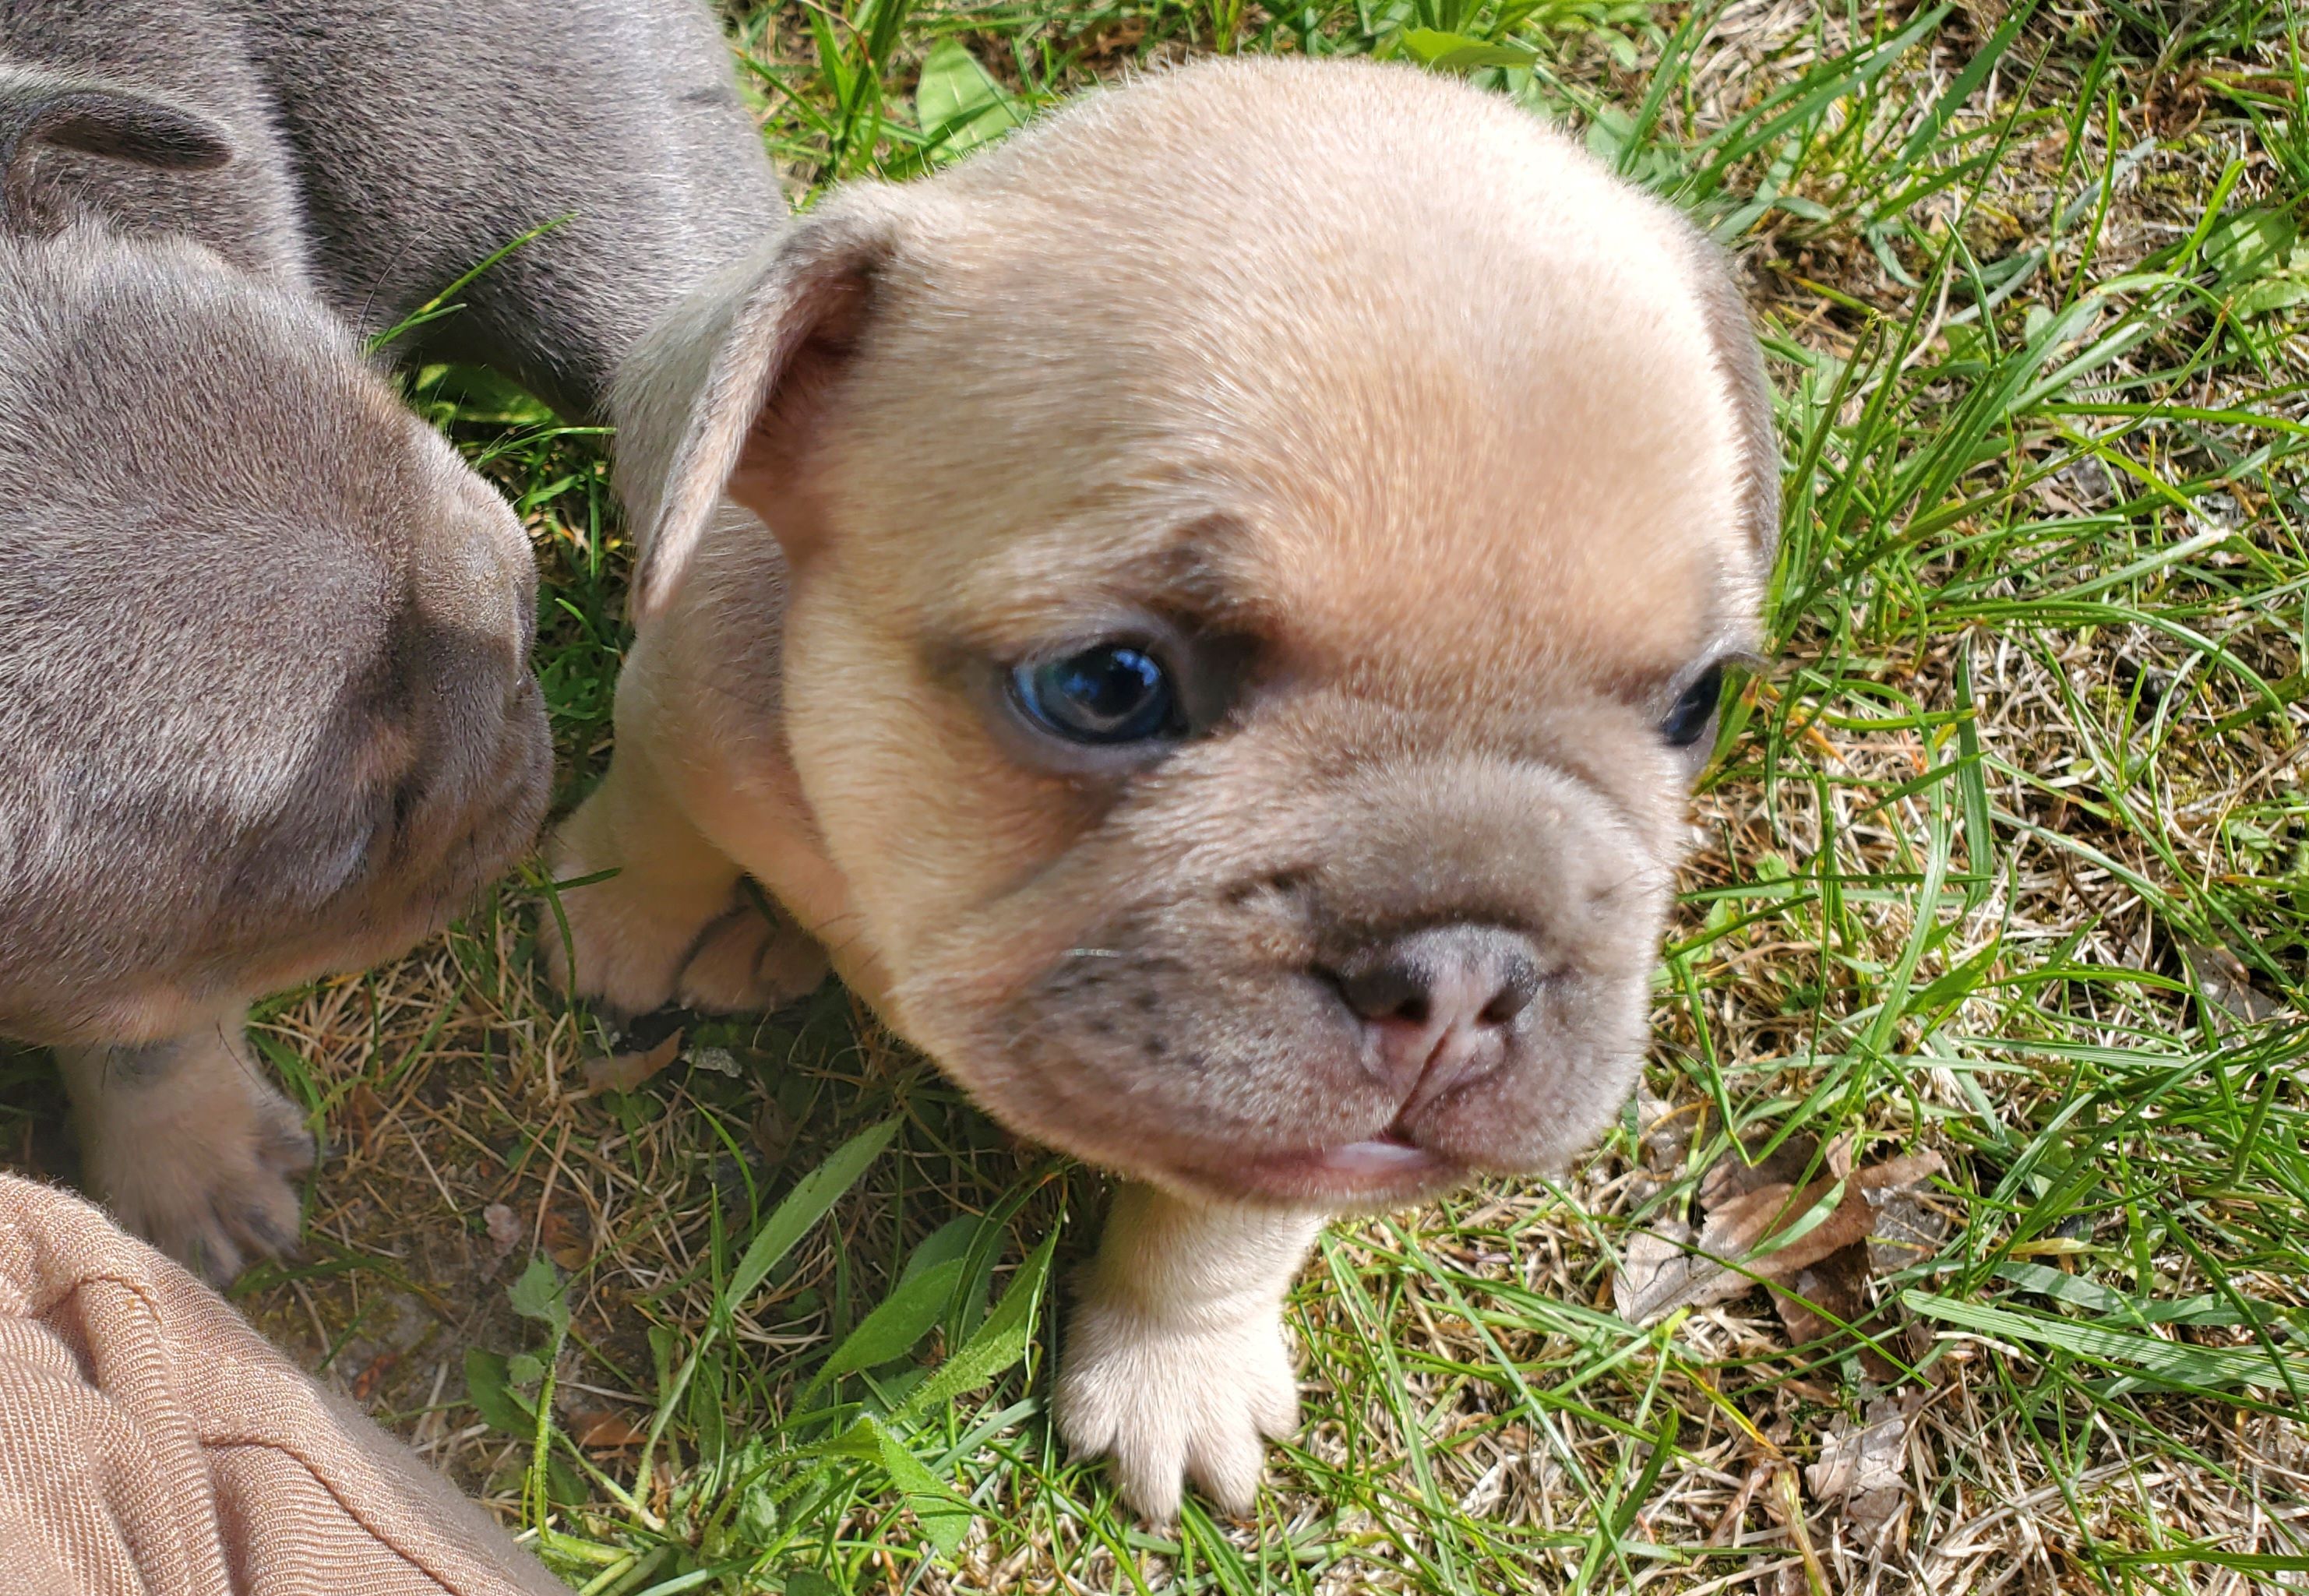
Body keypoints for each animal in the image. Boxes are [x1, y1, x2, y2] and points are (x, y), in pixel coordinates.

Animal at [549, 56, 1773, 1515]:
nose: (1466, 966)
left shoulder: (1278, 1143)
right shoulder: (677, 703)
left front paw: (1172, 1367)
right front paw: (612, 921)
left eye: (1694, 703)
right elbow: (655, 826)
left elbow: (1222, 1234)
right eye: (1105, 684)